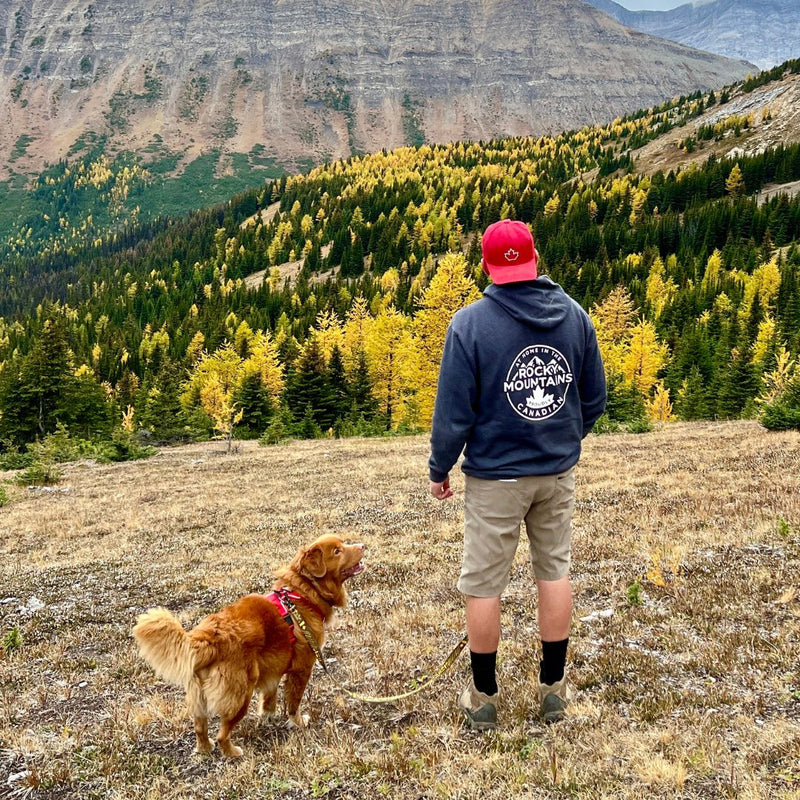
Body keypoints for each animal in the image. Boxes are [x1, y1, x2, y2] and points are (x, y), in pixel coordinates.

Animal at [134, 536, 366, 760]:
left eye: (343, 543)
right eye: (337, 551)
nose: (362, 545)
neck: (302, 594)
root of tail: (207, 638)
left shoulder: (272, 668)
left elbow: (269, 697)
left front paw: (268, 716)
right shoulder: (301, 669)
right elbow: (294, 702)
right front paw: (298, 722)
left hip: (199, 696)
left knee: (200, 727)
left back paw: (204, 749)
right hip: (240, 694)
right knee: (222, 733)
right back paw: (232, 752)